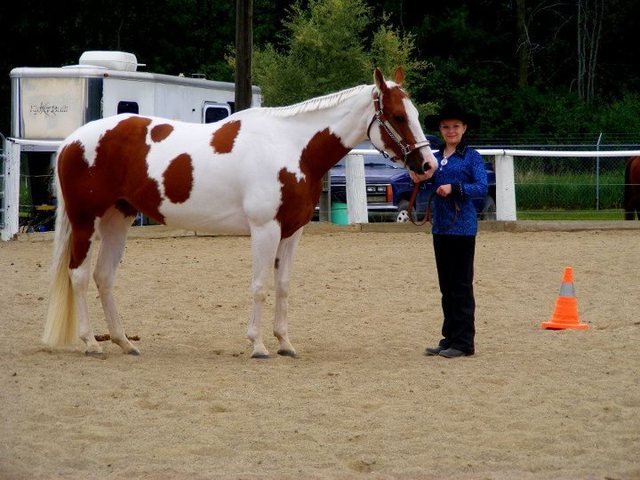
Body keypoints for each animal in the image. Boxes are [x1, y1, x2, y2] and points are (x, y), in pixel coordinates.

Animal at [42, 67, 437, 359]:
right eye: (398, 116)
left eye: (415, 114)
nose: (428, 165)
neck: (291, 146)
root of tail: (72, 140)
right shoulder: (265, 229)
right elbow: (260, 286)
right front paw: (258, 345)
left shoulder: (292, 232)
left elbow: (283, 286)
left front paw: (285, 344)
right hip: (85, 221)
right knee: (79, 275)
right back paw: (91, 343)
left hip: (117, 219)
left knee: (104, 277)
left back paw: (124, 342)